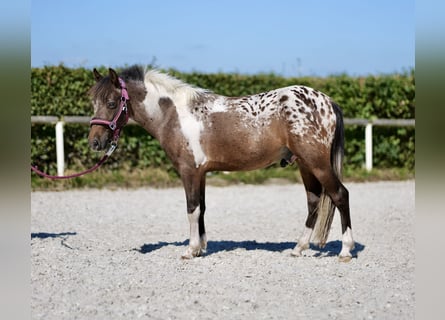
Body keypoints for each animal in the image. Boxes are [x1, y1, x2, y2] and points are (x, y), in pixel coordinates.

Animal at [88, 65, 356, 262]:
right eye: (93, 103)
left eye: (112, 103)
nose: (95, 142)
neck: (175, 115)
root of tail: (327, 101)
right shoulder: (201, 173)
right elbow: (202, 209)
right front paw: (201, 247)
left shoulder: (189, 172)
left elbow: (192, 209)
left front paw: (190, 250)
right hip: (305, 164)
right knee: (313, 201)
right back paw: (299, 247)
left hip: (317, 163)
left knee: (340, 195)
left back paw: (345, 250)